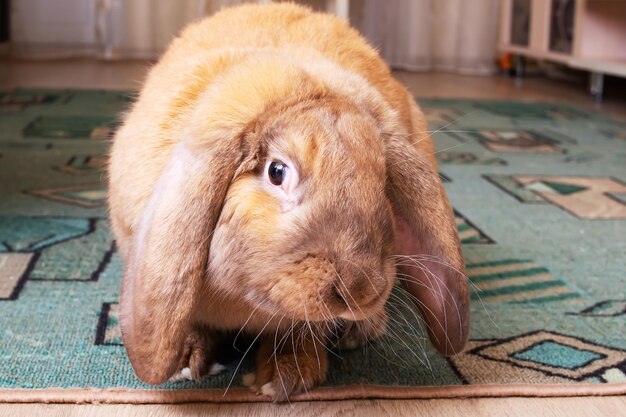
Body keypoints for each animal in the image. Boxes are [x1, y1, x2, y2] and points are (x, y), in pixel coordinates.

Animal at [108, 2, 468, 400]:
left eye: (383, 180)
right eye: (277, 172)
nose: (361, 290)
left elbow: (300, 329)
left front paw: (284, 377)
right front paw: (187, 362)